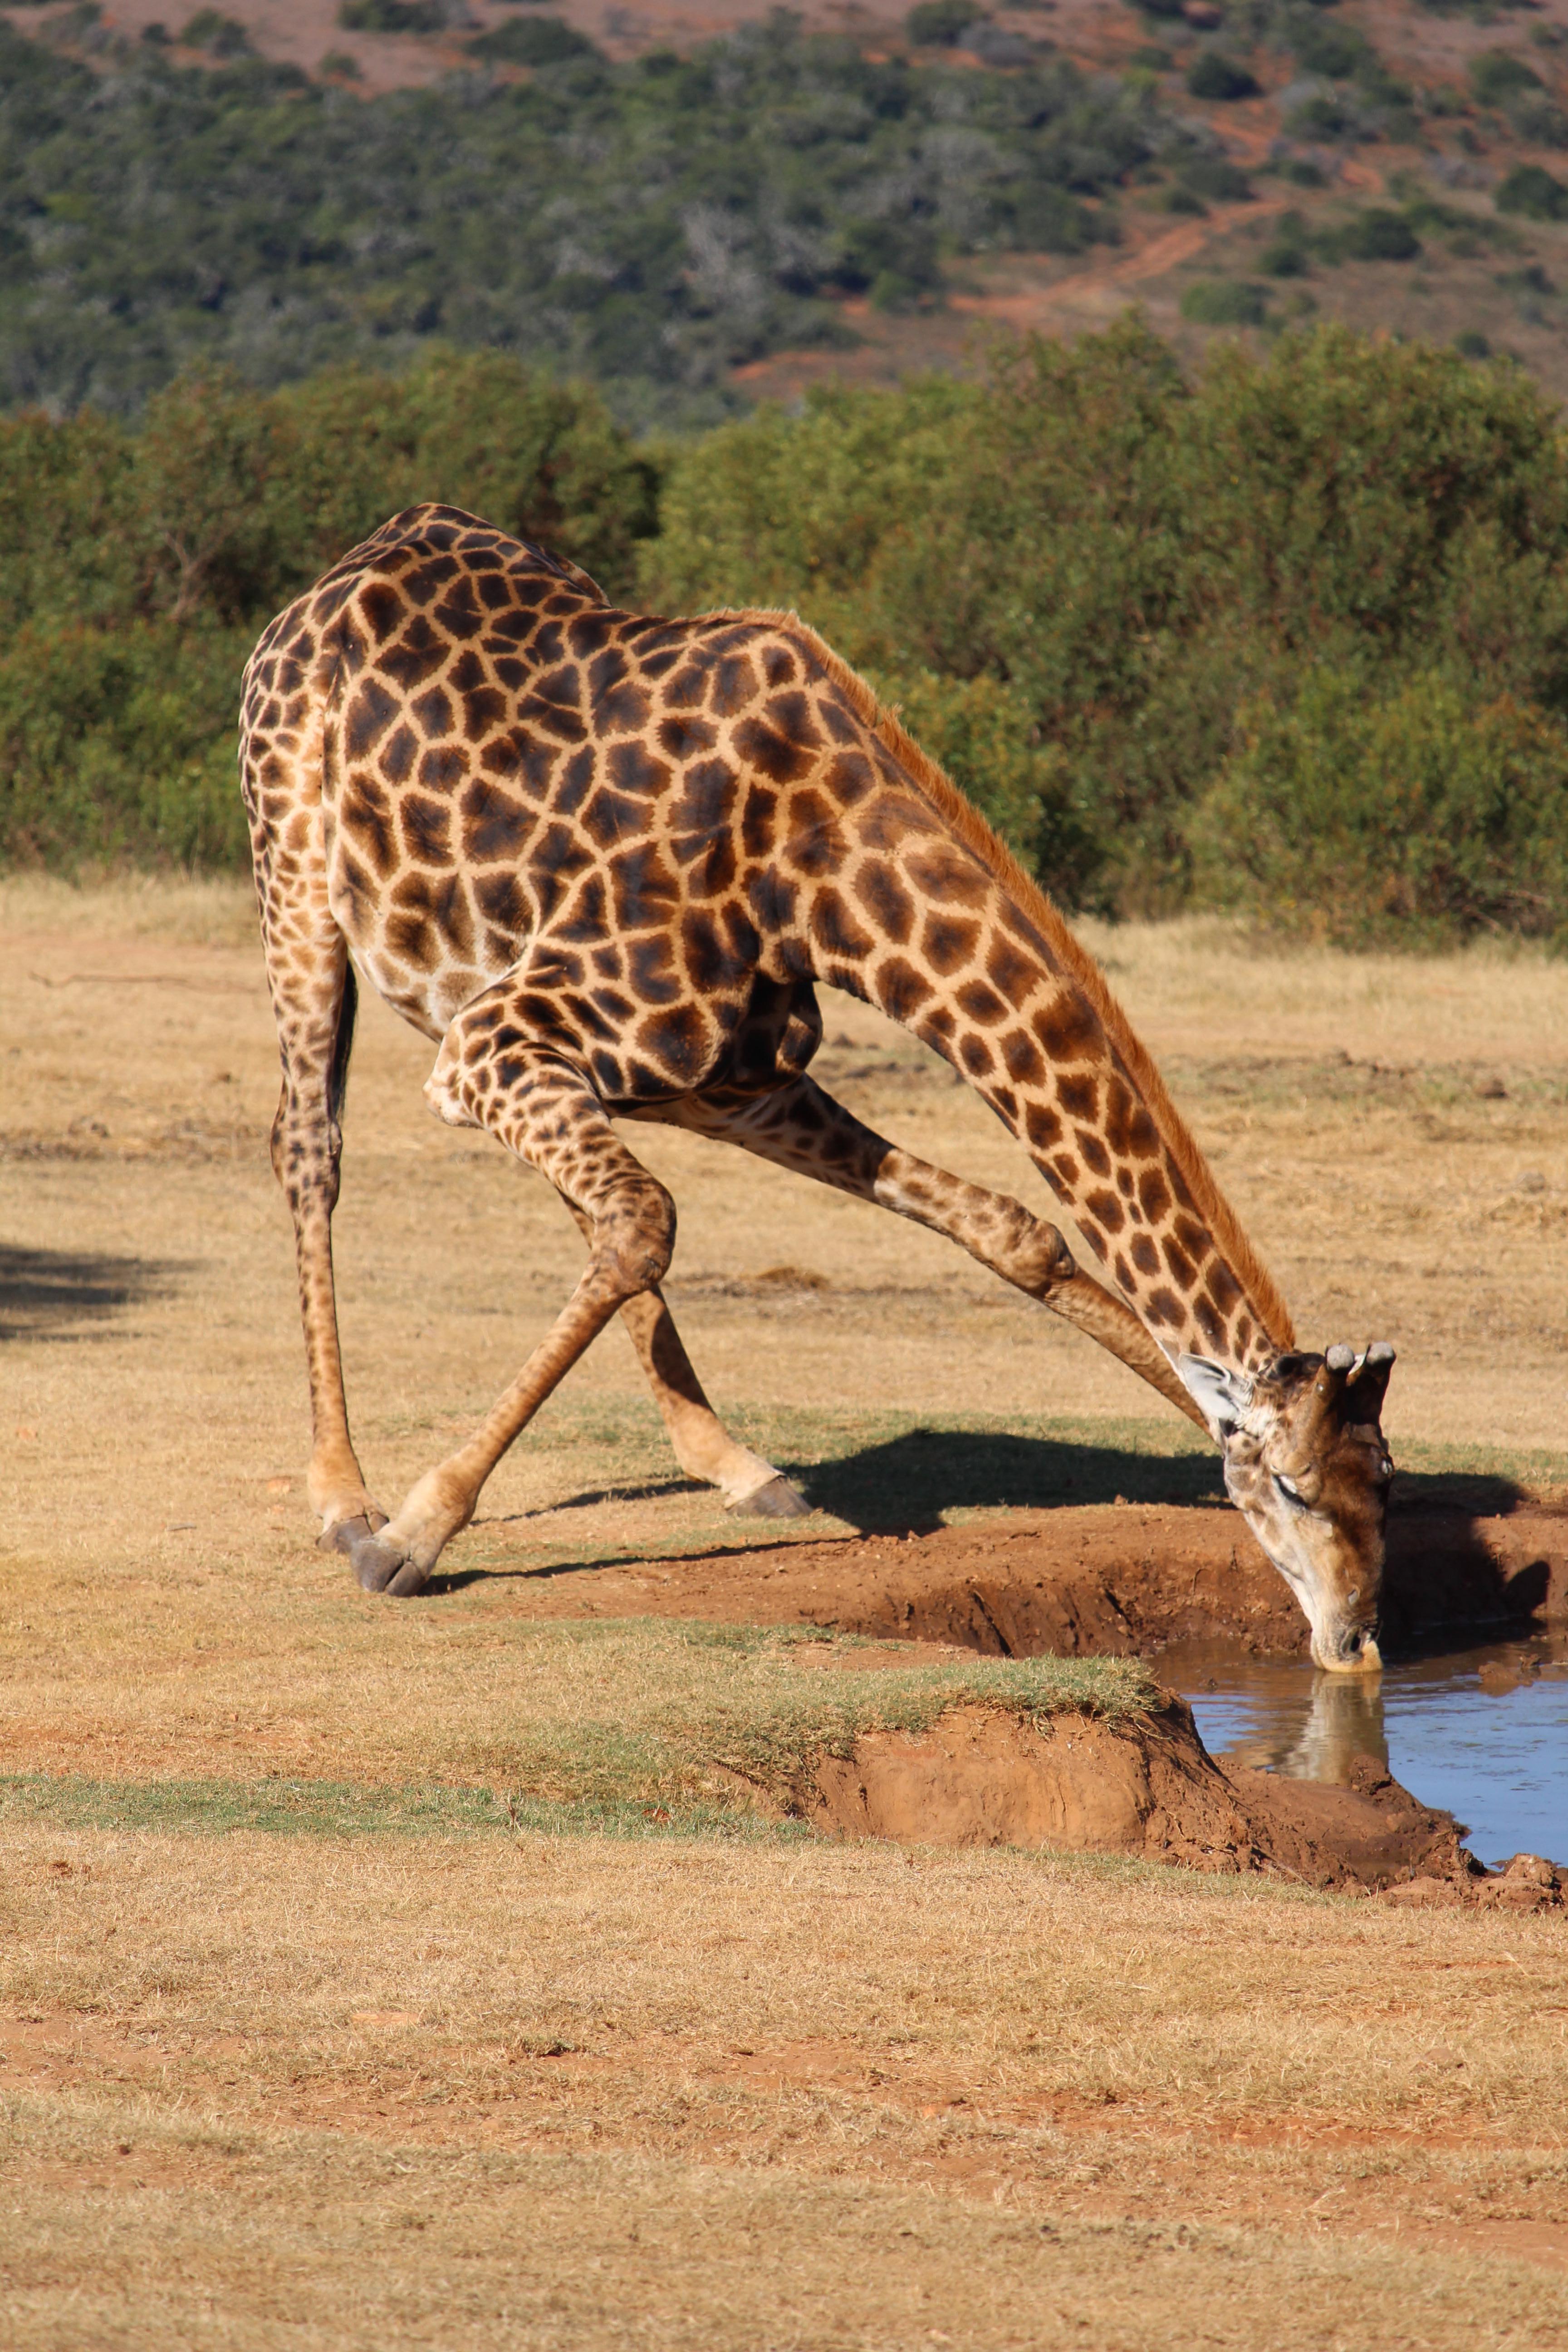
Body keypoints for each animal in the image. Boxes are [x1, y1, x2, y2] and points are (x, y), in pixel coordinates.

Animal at [242, 503, 1401, 1665]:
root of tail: (356, 560)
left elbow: (1008, 1232)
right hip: (297, 881)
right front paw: (410, 1536)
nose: (1356, 1641)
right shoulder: (494, 1040)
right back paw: (342, 1496)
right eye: (1294, 1491)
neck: (816, 879)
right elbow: (645, 1220)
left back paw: (739, 1466)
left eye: (1382, 1482)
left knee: (586, 1201)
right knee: (311, 1149)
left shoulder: (728, 1078)